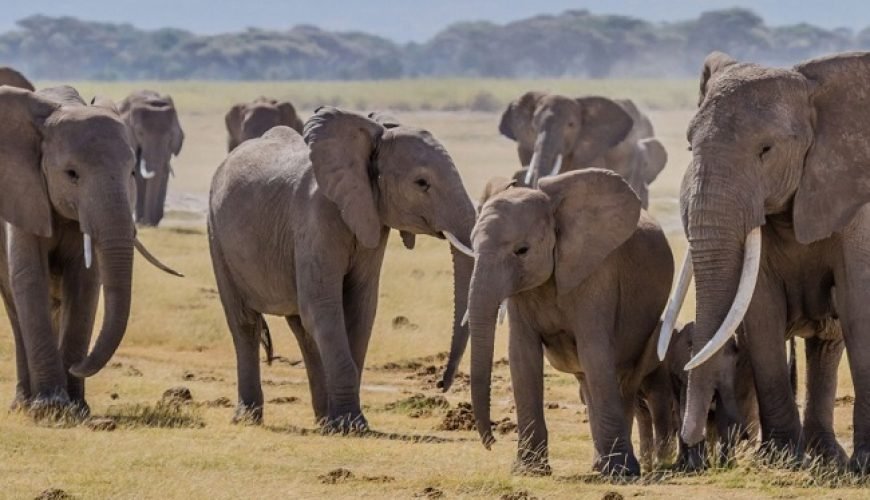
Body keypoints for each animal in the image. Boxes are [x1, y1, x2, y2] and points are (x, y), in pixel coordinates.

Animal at [119, 90, 184, 227]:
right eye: (140, 133)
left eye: (171, 136)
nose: (149, 223)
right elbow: (139, 175)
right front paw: (142, 222)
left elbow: (163, 172)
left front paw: (152, 222)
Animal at [208, 107, 476, 430]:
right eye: (421, 183)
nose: (440, 384)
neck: (372, 137)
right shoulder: (315, 216)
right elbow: (323, 306)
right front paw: (352, 426)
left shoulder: (372, 218)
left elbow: (360, 309)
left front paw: (345, 423)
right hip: (216, 235)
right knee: (245, 323)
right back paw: (248, 418)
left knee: (303, 329)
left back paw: (323, 420)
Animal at [460, 169, 674, 476]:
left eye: (522, 250)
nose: (491, 443)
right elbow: (522, 356)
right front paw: (529, 471)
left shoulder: (597, 275)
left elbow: (594, 352)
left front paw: (620, 473)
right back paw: (599, 465)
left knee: (625, 380)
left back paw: (617, 468)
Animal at [656, 51, 867, 471]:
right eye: (689, 147)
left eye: (766, 150)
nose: (692, 440)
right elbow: (761, 307)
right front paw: (782, 460)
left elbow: (858, 304)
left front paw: (865, 463)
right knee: (824, 343)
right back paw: (824, 457)